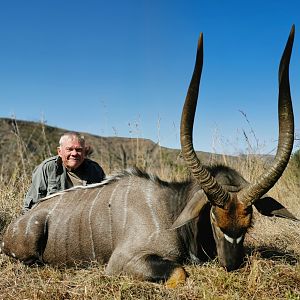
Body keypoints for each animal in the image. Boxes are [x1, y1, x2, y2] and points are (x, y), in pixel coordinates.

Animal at [1, 25, 298, 286]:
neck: (171, 208)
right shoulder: (122, 262)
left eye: (249, 223)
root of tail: (17, 224)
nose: (232, 264)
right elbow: (179, 273)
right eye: (214, 217)